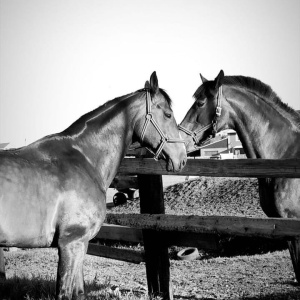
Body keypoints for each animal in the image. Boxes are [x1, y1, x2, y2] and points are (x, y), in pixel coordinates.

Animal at [0, 71, 186, 298]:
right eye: (168, 114)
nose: (182, 158)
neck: (84, 158)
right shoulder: (71, 242)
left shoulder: (81, 244)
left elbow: (79, 292)